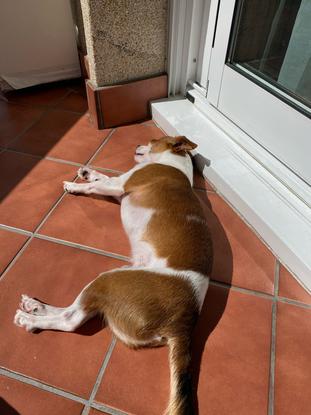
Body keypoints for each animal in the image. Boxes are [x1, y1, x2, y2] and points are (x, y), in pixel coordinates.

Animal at [13, 136, 213, 415]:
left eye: (153, 140)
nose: (138, 143)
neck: (175, 165)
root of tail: (185, 321)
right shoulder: (118, 191)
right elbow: (103, 179)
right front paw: (88, 173)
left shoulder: (122, 184)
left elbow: (98, 185)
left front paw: (75, 185)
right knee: (77, 311)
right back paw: (35, 307)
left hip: (108, 280)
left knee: (70, 319)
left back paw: (30, 319)